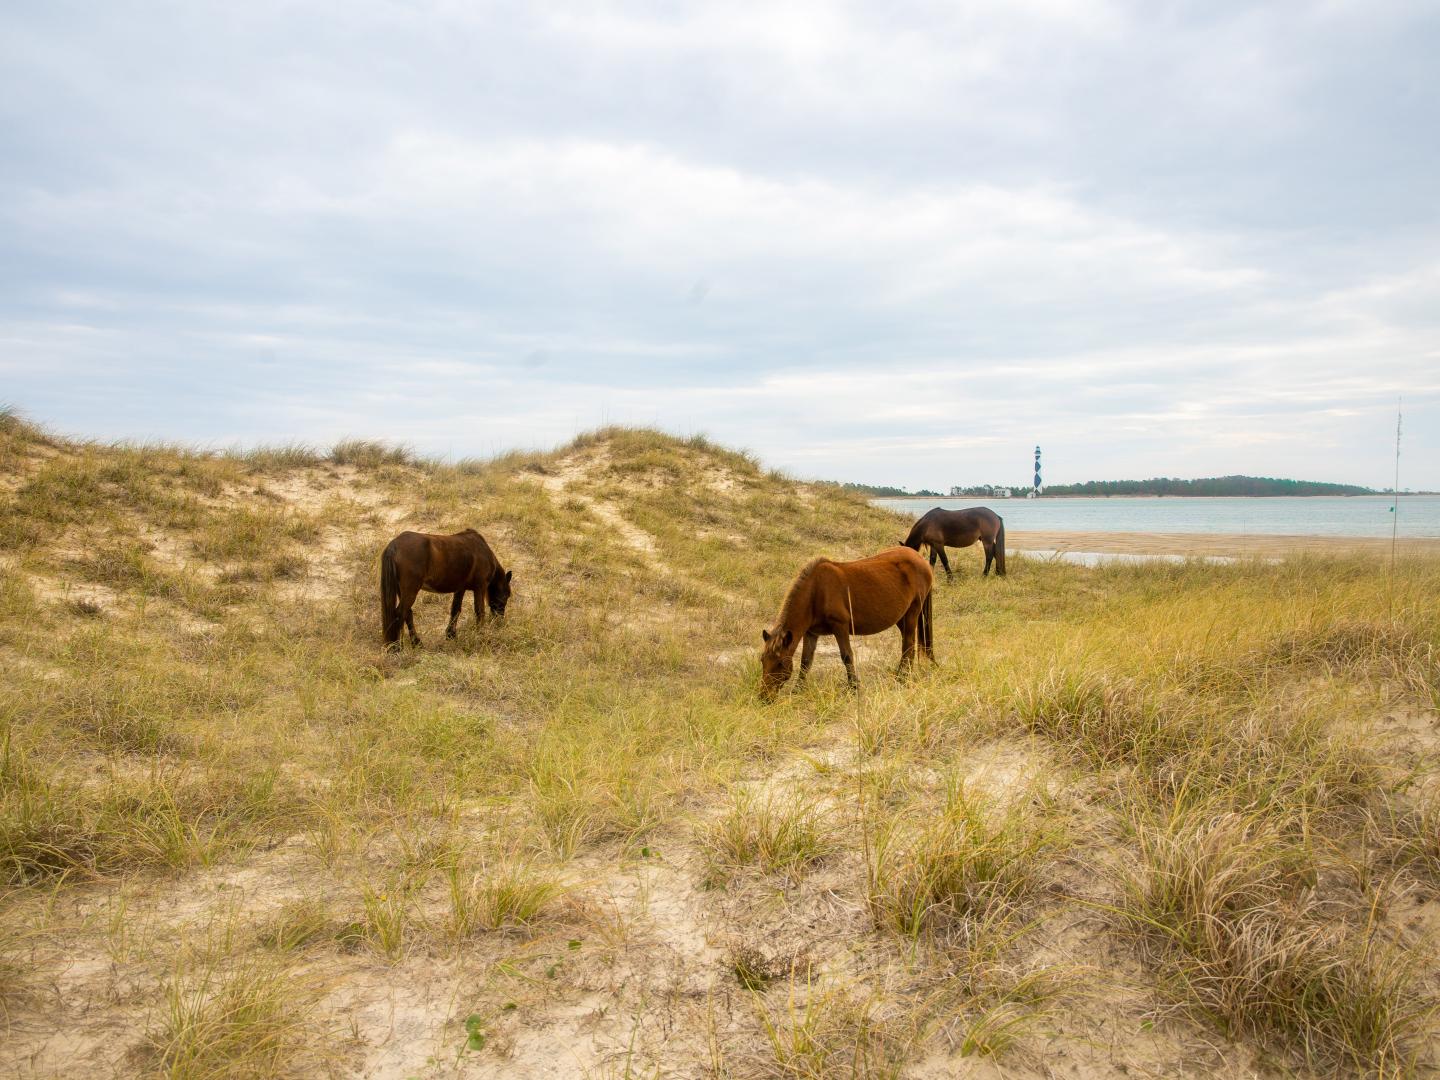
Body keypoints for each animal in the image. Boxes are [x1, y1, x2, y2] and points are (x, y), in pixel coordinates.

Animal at [379, 529, 512, 647]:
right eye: (506, 595)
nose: (499, 621)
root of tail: (394, 545)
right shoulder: (480, 587)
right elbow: (479, 612)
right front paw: (480, 635)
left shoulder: (460, 588)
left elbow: (455, 609)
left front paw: (451, 634)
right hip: (410, 591)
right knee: (400, 613)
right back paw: (396, 647)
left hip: (402, 591)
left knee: (407, 614)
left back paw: (416, 643)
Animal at [759, 547, 934, 700]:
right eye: (762, 660)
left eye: (780, 663)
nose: (764, 698)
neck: (816, 591)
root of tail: (921, 559)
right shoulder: (811, 633)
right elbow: (806, 662)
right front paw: (797, 690)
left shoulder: (840, 626)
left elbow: (847, 657)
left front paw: (853, 688)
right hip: (901, 618)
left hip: (912, 612)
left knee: (908, 644)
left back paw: (902, 678)